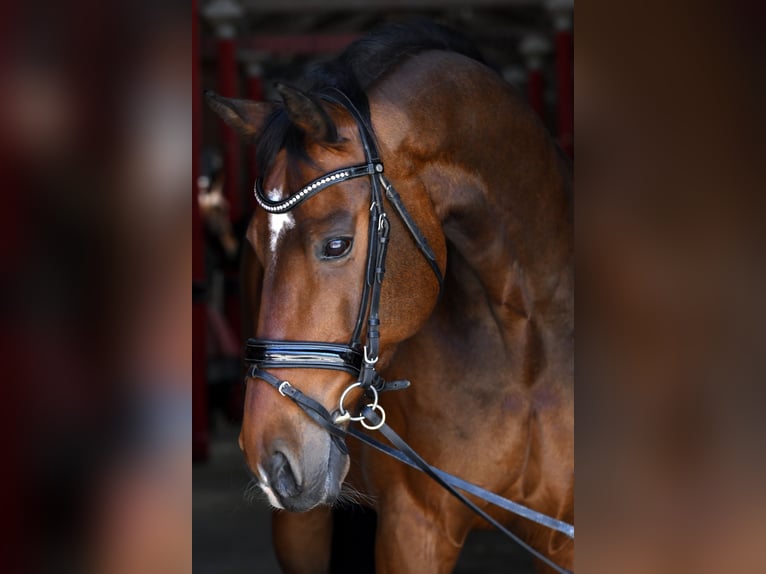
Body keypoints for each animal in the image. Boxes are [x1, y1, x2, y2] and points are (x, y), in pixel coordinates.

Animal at [207, 20, 572, 572]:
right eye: (252, 243)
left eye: (337, 244)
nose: (270, 458)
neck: (525, 334)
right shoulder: (414, 528)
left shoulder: (562, 540)